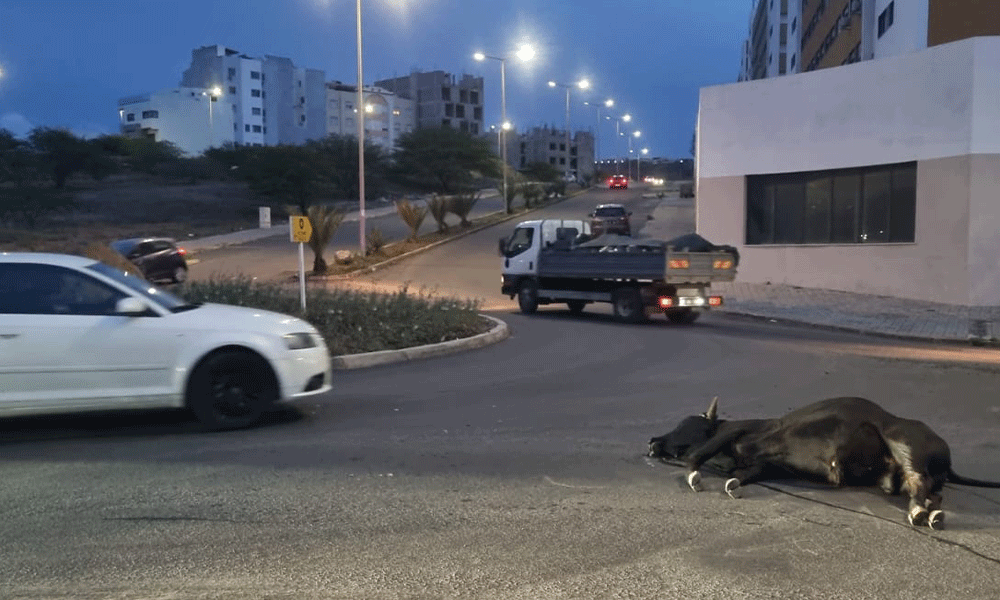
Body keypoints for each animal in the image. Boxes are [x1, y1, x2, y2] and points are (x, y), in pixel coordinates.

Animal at [647, 396, 1000, 530]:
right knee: (930, 493)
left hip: (904, 444)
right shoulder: (759, 466)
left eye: (683, 423)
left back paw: (921, 513)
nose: (652, 441)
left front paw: (694, 475)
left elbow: (696, 455)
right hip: (902, 477)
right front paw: (731, 483)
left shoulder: (733, 432)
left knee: (921, 483)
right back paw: (930, 513)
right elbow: (741, 475)